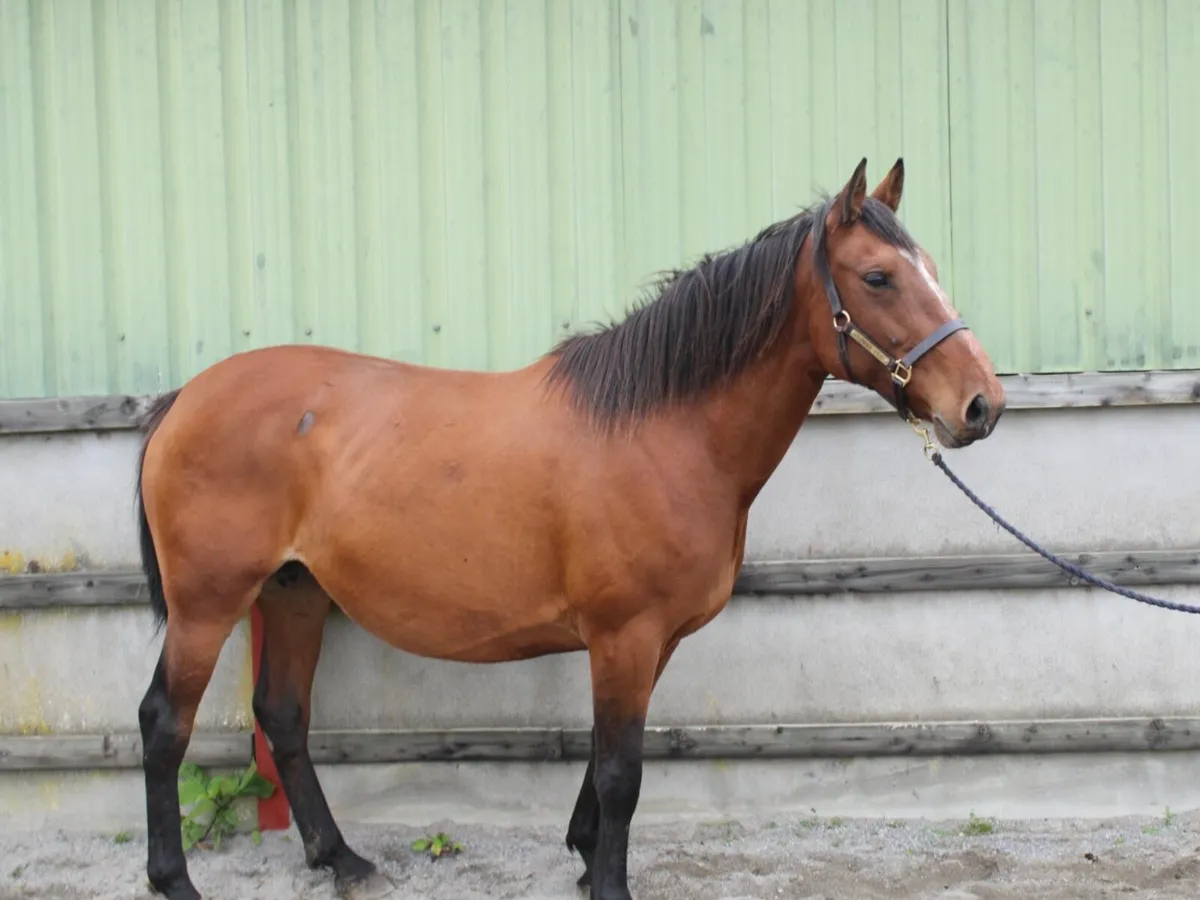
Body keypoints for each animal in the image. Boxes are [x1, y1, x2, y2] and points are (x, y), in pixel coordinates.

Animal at [133, 157, 1005, 900]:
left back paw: (341, 858)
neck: (663, 429)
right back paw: (176, 880)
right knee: (164, 723)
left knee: (282, 715)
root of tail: (183, 399)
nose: (981, 405)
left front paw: (586, 858)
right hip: (208, 604)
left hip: (295, 592)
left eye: (928, 267)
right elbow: (622, 772)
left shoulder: (649, 641)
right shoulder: (624, 634)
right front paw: (609, 882)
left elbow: (601, 760)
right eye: (879, 276)